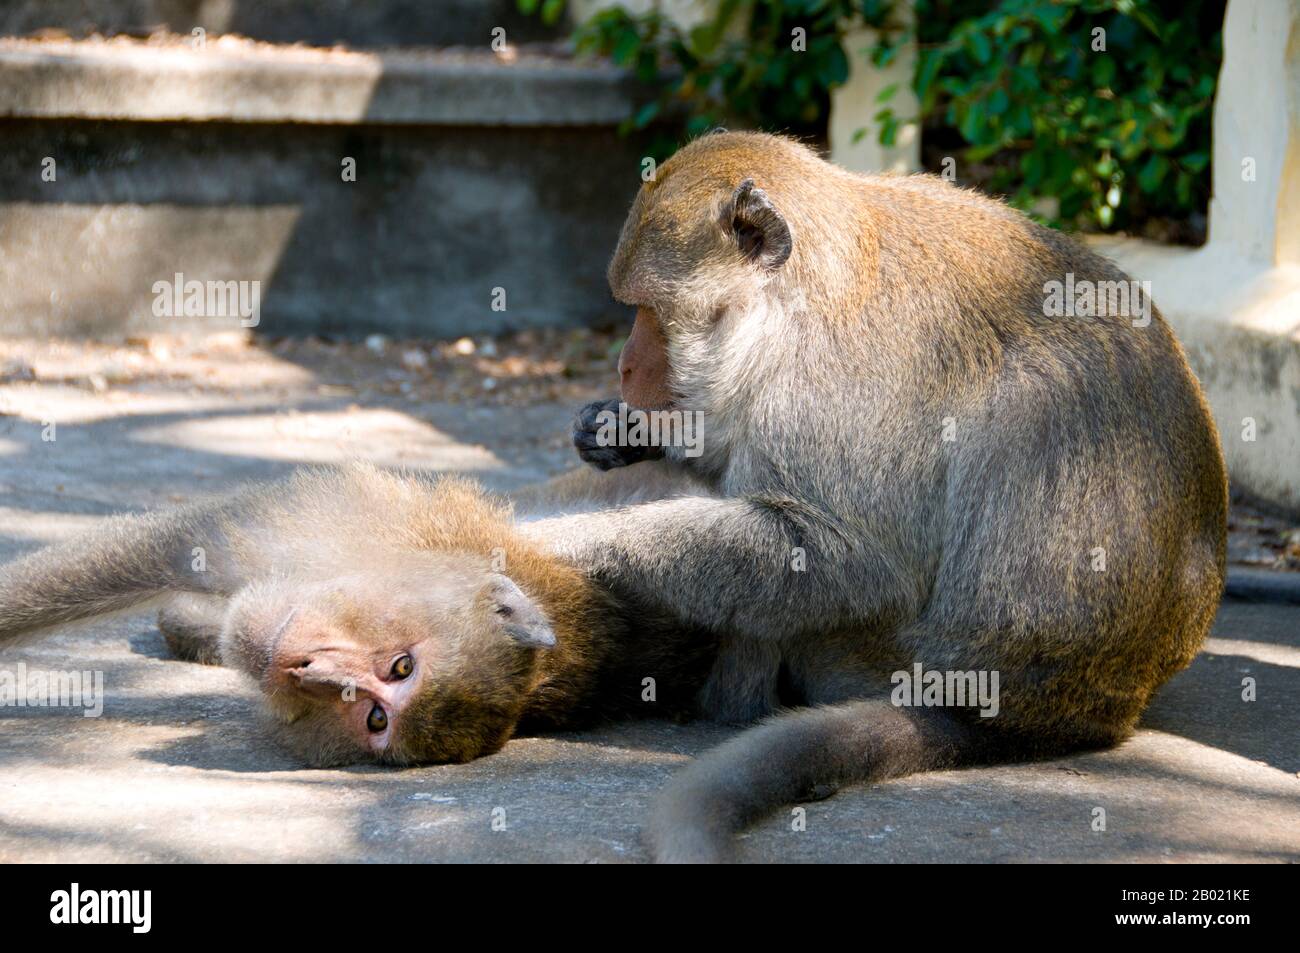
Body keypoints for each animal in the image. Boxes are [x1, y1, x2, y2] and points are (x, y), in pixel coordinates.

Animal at [512, 131, 1222, 863]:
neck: (801, 301)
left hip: (877, 658)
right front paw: (618, 430)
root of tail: (1082, 714)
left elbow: (853, 562)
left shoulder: (823, 391)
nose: (625, 366)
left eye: (648, 310)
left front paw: (563, 539)